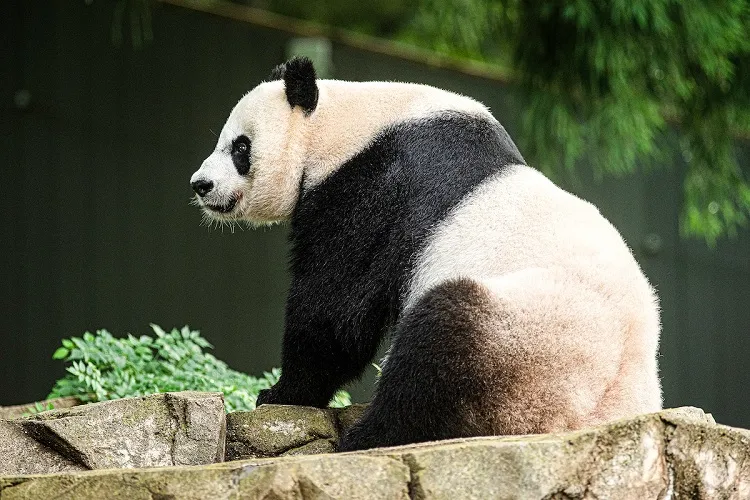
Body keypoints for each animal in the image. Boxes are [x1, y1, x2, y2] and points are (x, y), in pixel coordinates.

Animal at [189, 56, 664, 452]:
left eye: (240, 147)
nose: (200, 184)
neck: (342, 125)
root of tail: (611, 413)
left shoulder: (377, 189)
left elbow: (335, 308)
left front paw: (282, 393)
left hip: (534, 345)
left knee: (440, 343)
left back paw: (366, 438)